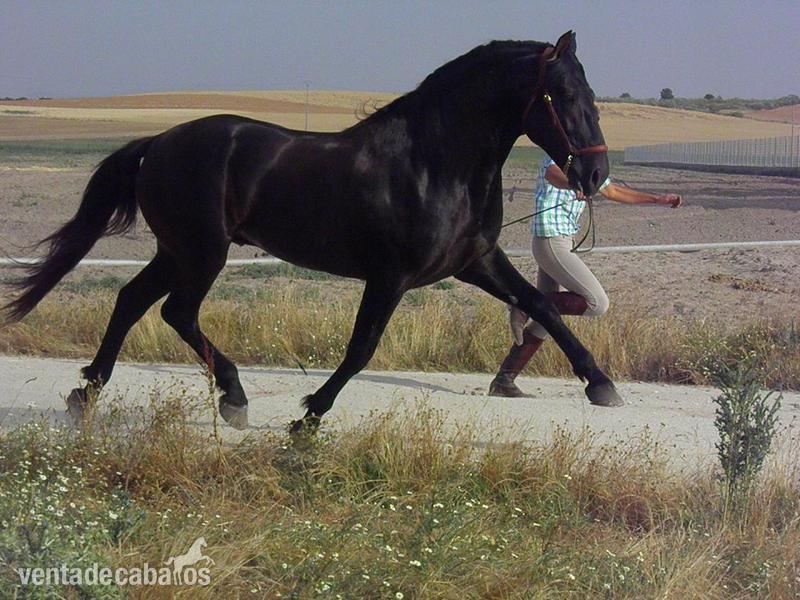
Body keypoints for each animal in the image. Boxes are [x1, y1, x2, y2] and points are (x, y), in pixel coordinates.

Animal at [3, 31, 622, 433]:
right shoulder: (390, 276)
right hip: (203, 253)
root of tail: (157, 143)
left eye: (593, 97)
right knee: (175, 312)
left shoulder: (477, 263)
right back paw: (233, 396)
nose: (595, 175)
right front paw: (308, 418)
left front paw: (600, 384)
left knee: (131, 301)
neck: (436, 163)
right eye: (565, 97)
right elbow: (361, 347)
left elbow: (542, 306)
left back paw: (86, 394)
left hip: (177, 251)